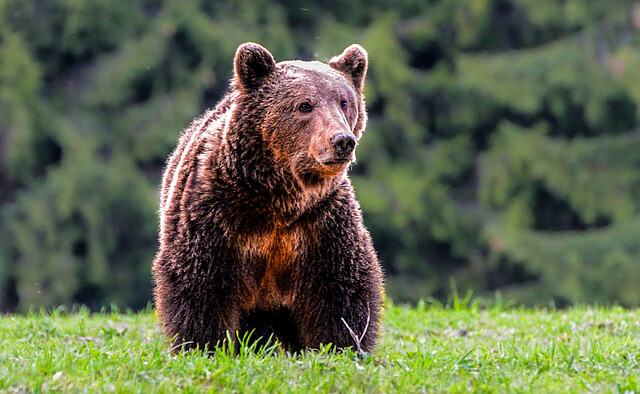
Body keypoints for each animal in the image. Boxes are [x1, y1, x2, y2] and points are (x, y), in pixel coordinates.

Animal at [151, 41, 384, 352]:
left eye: (344, 102)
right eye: (304, 105)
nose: (342, 141)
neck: (278, 199)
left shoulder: (321, 221)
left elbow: (340, 286)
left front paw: (341, 346)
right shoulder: (215, 212)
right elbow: (202, 281)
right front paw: (205, 344)